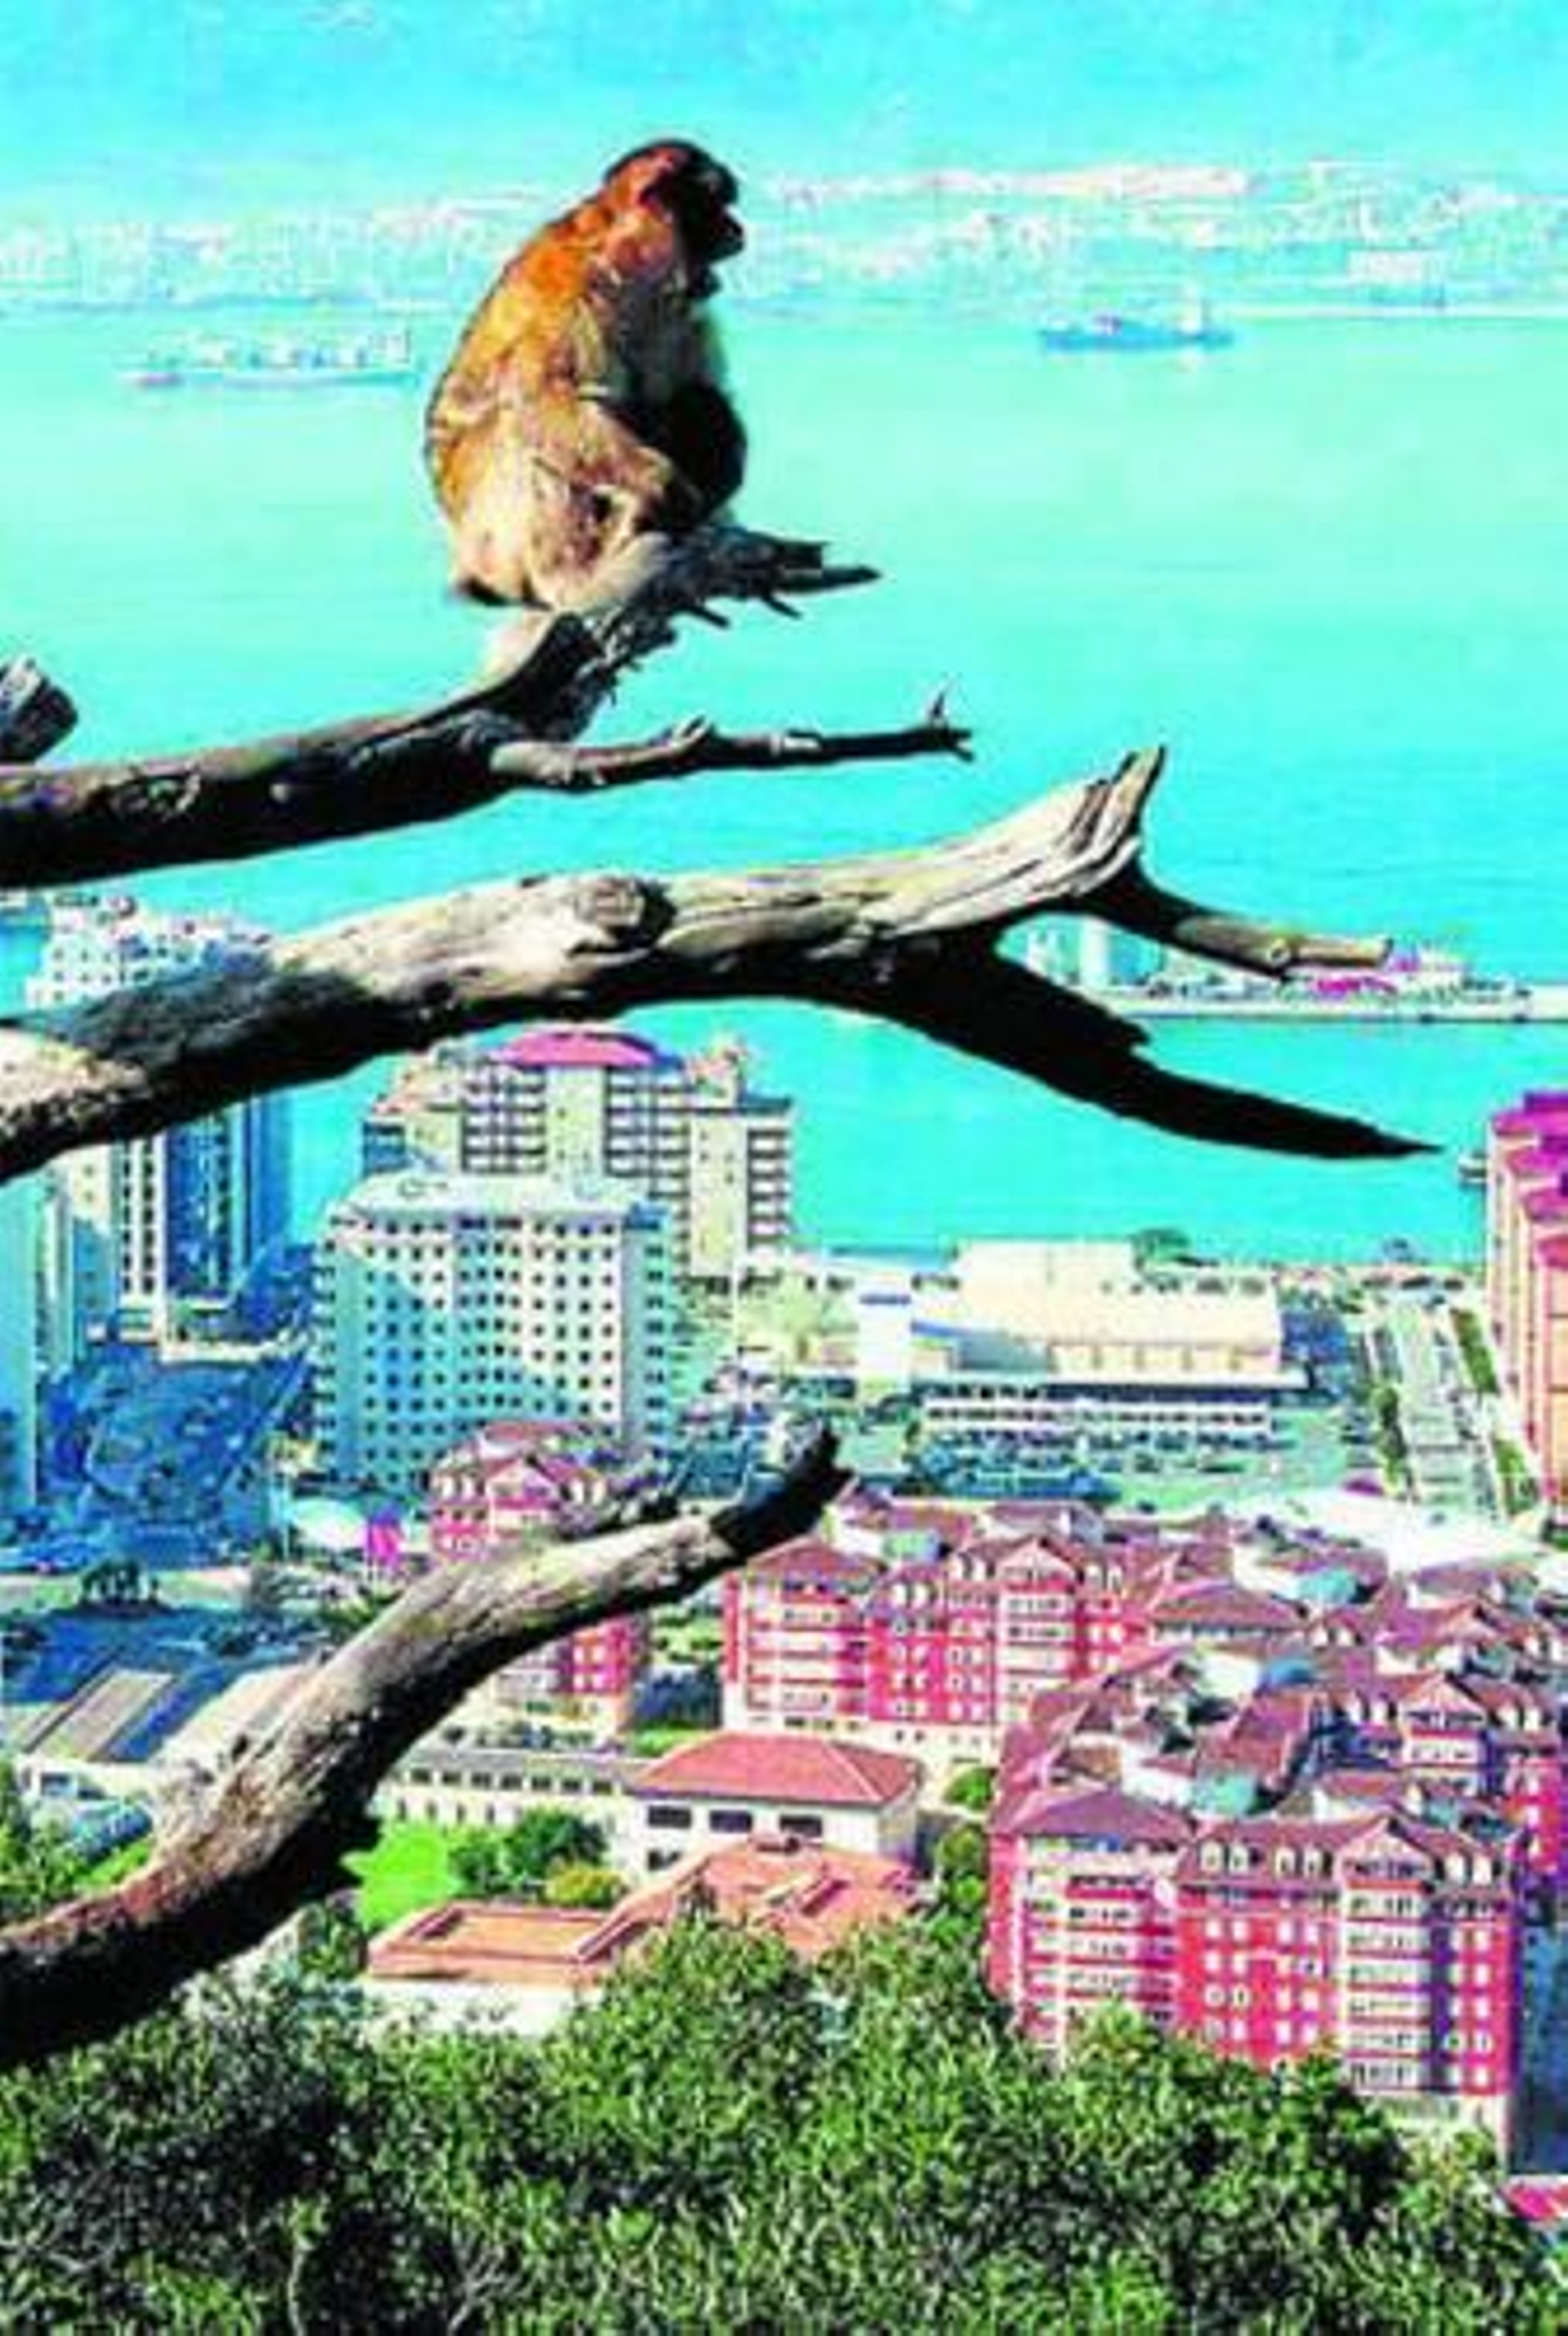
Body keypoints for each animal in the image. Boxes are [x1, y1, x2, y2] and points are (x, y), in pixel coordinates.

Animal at [424, 141, 747, 611]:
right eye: (714, 206)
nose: (737, 231)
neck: (628, 271)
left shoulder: (681, 315)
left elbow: (692, 388)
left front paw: (721, 473)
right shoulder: (569, 296)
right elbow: (546, 401)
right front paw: (660, 482)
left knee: (694, 401)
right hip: (490, 542)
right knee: (520, 437)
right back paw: (573, 578)